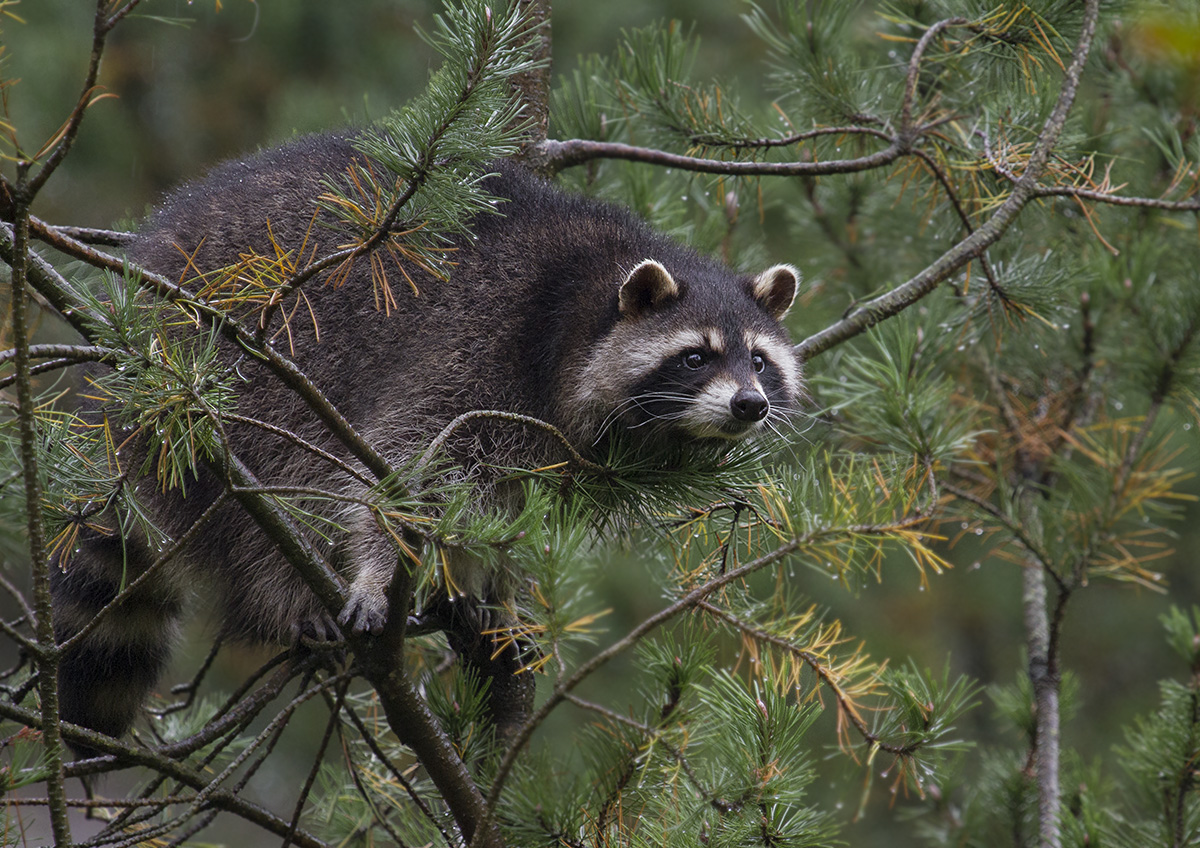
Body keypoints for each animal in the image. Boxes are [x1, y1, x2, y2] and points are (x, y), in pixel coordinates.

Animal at [51, 130, 806, 743]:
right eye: (696, 357)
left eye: (759, 360)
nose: (750, 405)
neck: (582, 297)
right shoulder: (478, 347)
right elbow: (401, 466)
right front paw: (379, 568)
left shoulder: (557, 445)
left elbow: (513, 511)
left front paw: (495, 588)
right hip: (221, 375)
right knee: (267, 487)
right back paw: (286, 591)